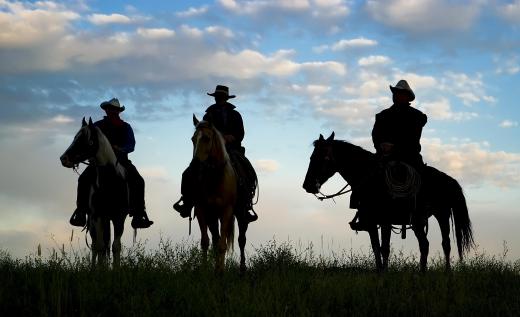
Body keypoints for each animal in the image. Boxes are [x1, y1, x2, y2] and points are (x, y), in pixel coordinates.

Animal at [58, 117, 127, 266]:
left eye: (83, 139)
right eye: (75, 137)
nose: (63, 158)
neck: (109, 183)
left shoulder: (119, 217)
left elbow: (116, 246)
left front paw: (116, 269)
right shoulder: (97, 216)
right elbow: (100, 246)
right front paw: (100, 269)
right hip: (92, 222)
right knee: (96, 245)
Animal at [300, 132, 476, 270]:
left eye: (321, 158)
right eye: (311, 157)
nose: (307, 185)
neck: (371, 179)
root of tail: (449, 180)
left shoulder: (384, 221)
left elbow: (384, 249)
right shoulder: (371, 222)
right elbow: (376, 248)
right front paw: (379, 274)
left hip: (436, 216)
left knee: (438, 244)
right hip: (425, 220)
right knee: (434, 244)